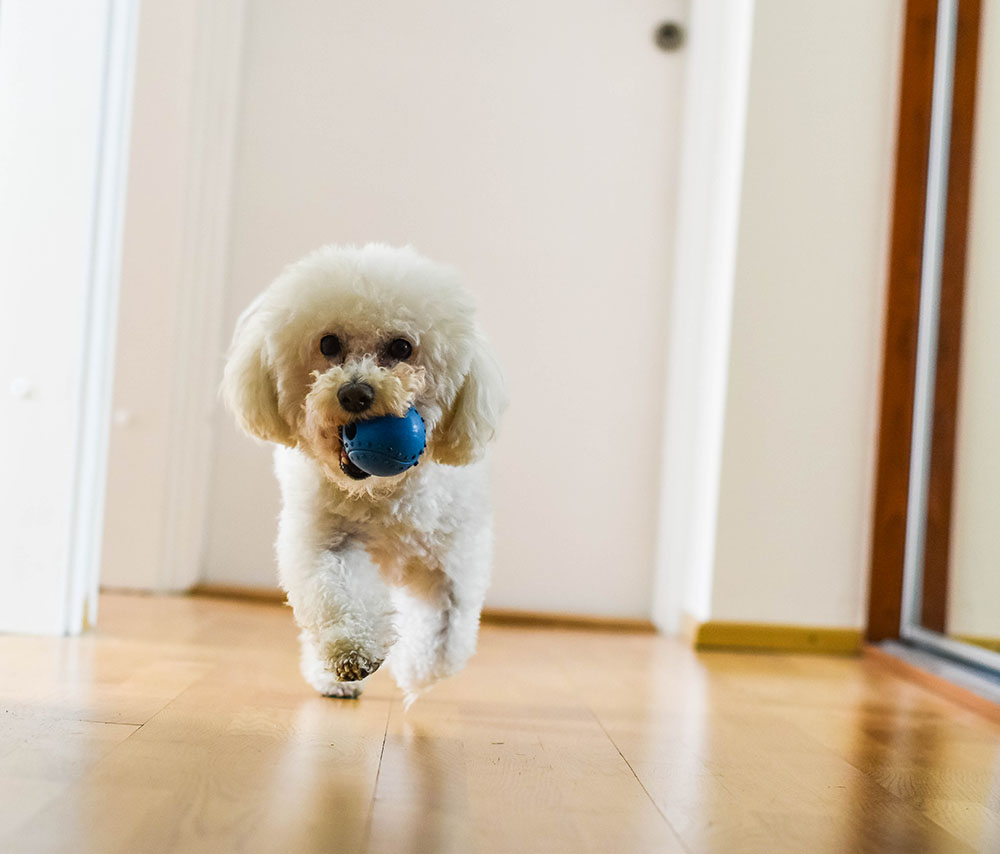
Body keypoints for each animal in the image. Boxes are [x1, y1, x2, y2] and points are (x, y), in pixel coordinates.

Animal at [225, 244, 508, 704]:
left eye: (402, 346)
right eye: (328, 343)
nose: (355, 393)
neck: (382, 494)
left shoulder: (453, 565)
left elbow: (446, 636)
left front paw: (414, 672)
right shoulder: (325, 544)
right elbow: (335, 595)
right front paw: (352, 653)